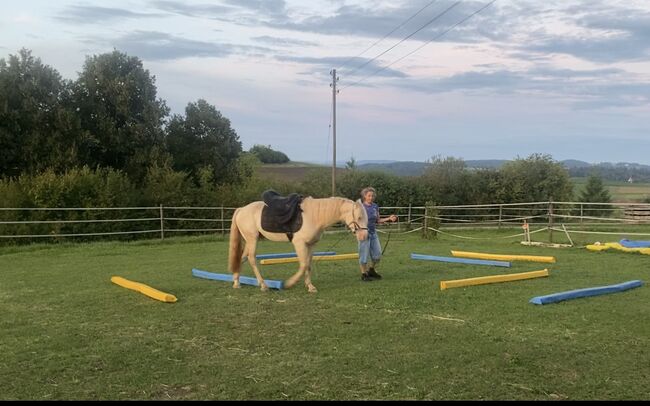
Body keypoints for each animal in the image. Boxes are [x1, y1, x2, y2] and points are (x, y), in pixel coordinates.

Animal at [228, 194, 368, 292]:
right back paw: (263, 285)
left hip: (249, 240)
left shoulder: (311, 245)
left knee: (242, 258)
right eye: (359, 217)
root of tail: (241, 209)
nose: (364, 236)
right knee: (251, 258)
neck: (314, 216)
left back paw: (236, 282)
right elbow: (303, 265)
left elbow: (308, 265)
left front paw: (310, 286)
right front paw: (290, 283)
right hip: (252, 240)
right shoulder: (299, 244)